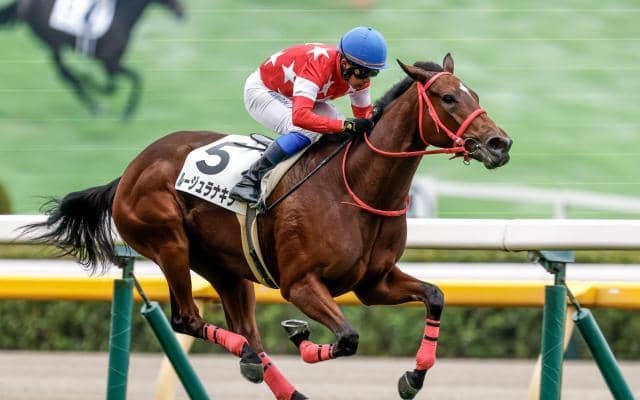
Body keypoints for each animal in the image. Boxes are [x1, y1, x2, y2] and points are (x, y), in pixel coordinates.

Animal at [0, 0, 184, 118]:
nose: (183, 12)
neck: (121, 16)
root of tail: (24, 4)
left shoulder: (111, 63)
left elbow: (118, 83)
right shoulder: (108, 61)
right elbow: (129, 80)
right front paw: (127, 113)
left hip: (54, 44)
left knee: (65, 74)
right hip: (53, 42)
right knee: (65, 73)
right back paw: (95, 105)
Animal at [23, 54, 512, 399]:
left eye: (473, 93)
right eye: (448, 98)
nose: (499, 143)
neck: (356, 188)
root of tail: (127, 172)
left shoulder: (374, 283)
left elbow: (435, 296)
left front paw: (412, 377)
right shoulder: (300, 283)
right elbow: (348, 338)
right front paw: (303, 337)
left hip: (226, 268)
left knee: (246, 332)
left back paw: (274, 378)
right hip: (168, 243)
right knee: (188, 319)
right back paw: (252, 358)